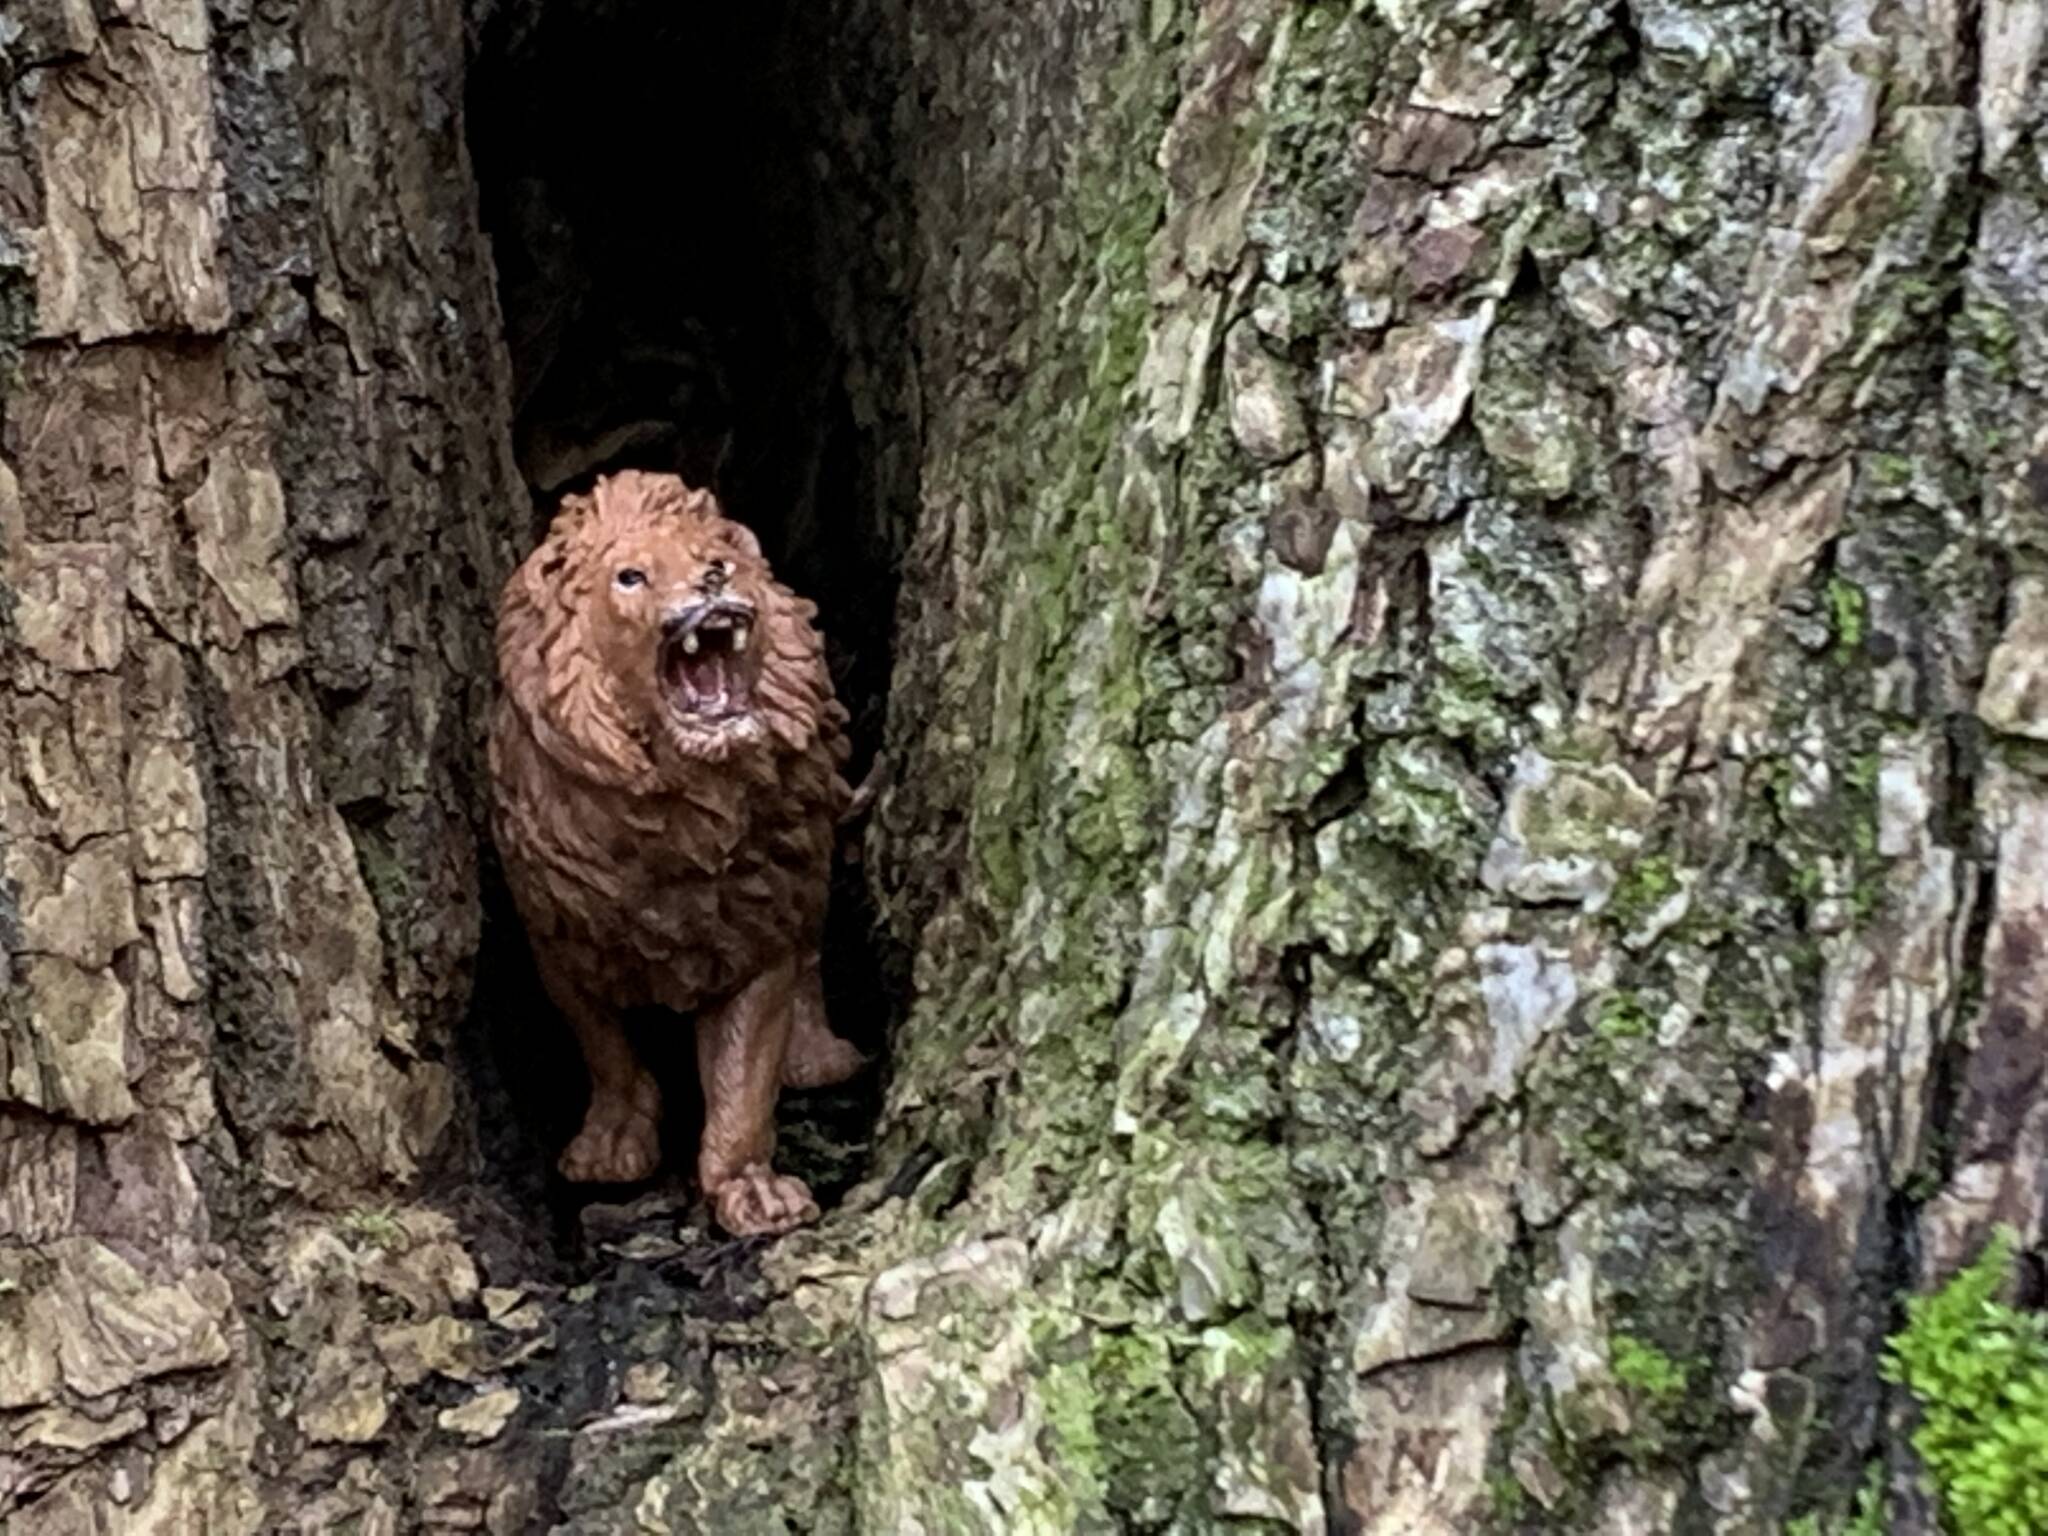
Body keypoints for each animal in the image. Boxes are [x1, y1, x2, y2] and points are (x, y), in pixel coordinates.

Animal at [488, 470, 864, 1236]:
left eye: (715, 556)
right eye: (631, 577)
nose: (713, 578)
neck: (681, 816)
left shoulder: (757, 937)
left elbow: (742, 1085)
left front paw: (755, 1193)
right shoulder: (561, 940)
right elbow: (606, 1049)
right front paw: (608, 1152)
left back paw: (819, 1060)